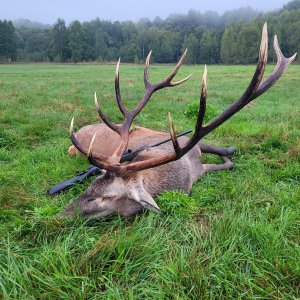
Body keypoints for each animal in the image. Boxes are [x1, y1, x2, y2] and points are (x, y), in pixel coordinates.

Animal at [61, 24, 296, 218]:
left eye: (107, 197)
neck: (185, 169)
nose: (63, 213)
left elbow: (225, 156)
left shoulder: (190, 146)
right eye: (92, 184)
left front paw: (230, 150)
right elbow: (229, 162)